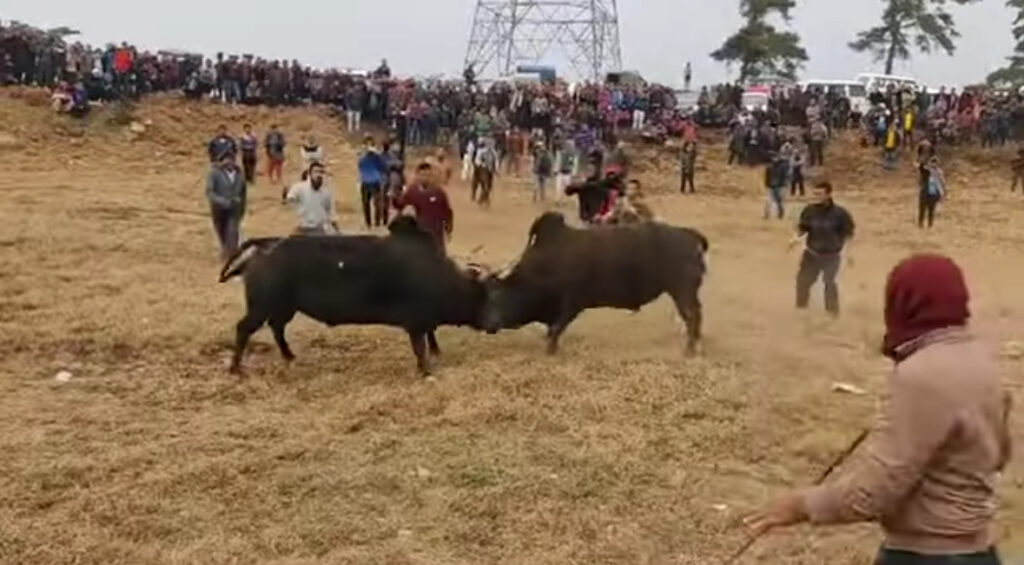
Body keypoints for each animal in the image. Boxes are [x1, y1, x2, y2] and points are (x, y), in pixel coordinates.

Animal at [217, 218, 487, 376]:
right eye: (482, 296)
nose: (490, 325)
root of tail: (262, 248)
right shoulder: (416, 321)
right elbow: (421, 346)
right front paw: (426, 368)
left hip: (283, 307)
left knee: (277, 328)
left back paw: (289, 356)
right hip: (261, 307)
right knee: (244, 329)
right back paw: (236, 368)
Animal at [481, 213, 708, 356]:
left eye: (498, 296)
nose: (489, 325)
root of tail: (688, 235)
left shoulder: (571, 304)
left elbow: (556, 329)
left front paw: (550, 350)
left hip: (682, 292)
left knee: (692, 317)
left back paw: (689, 351)